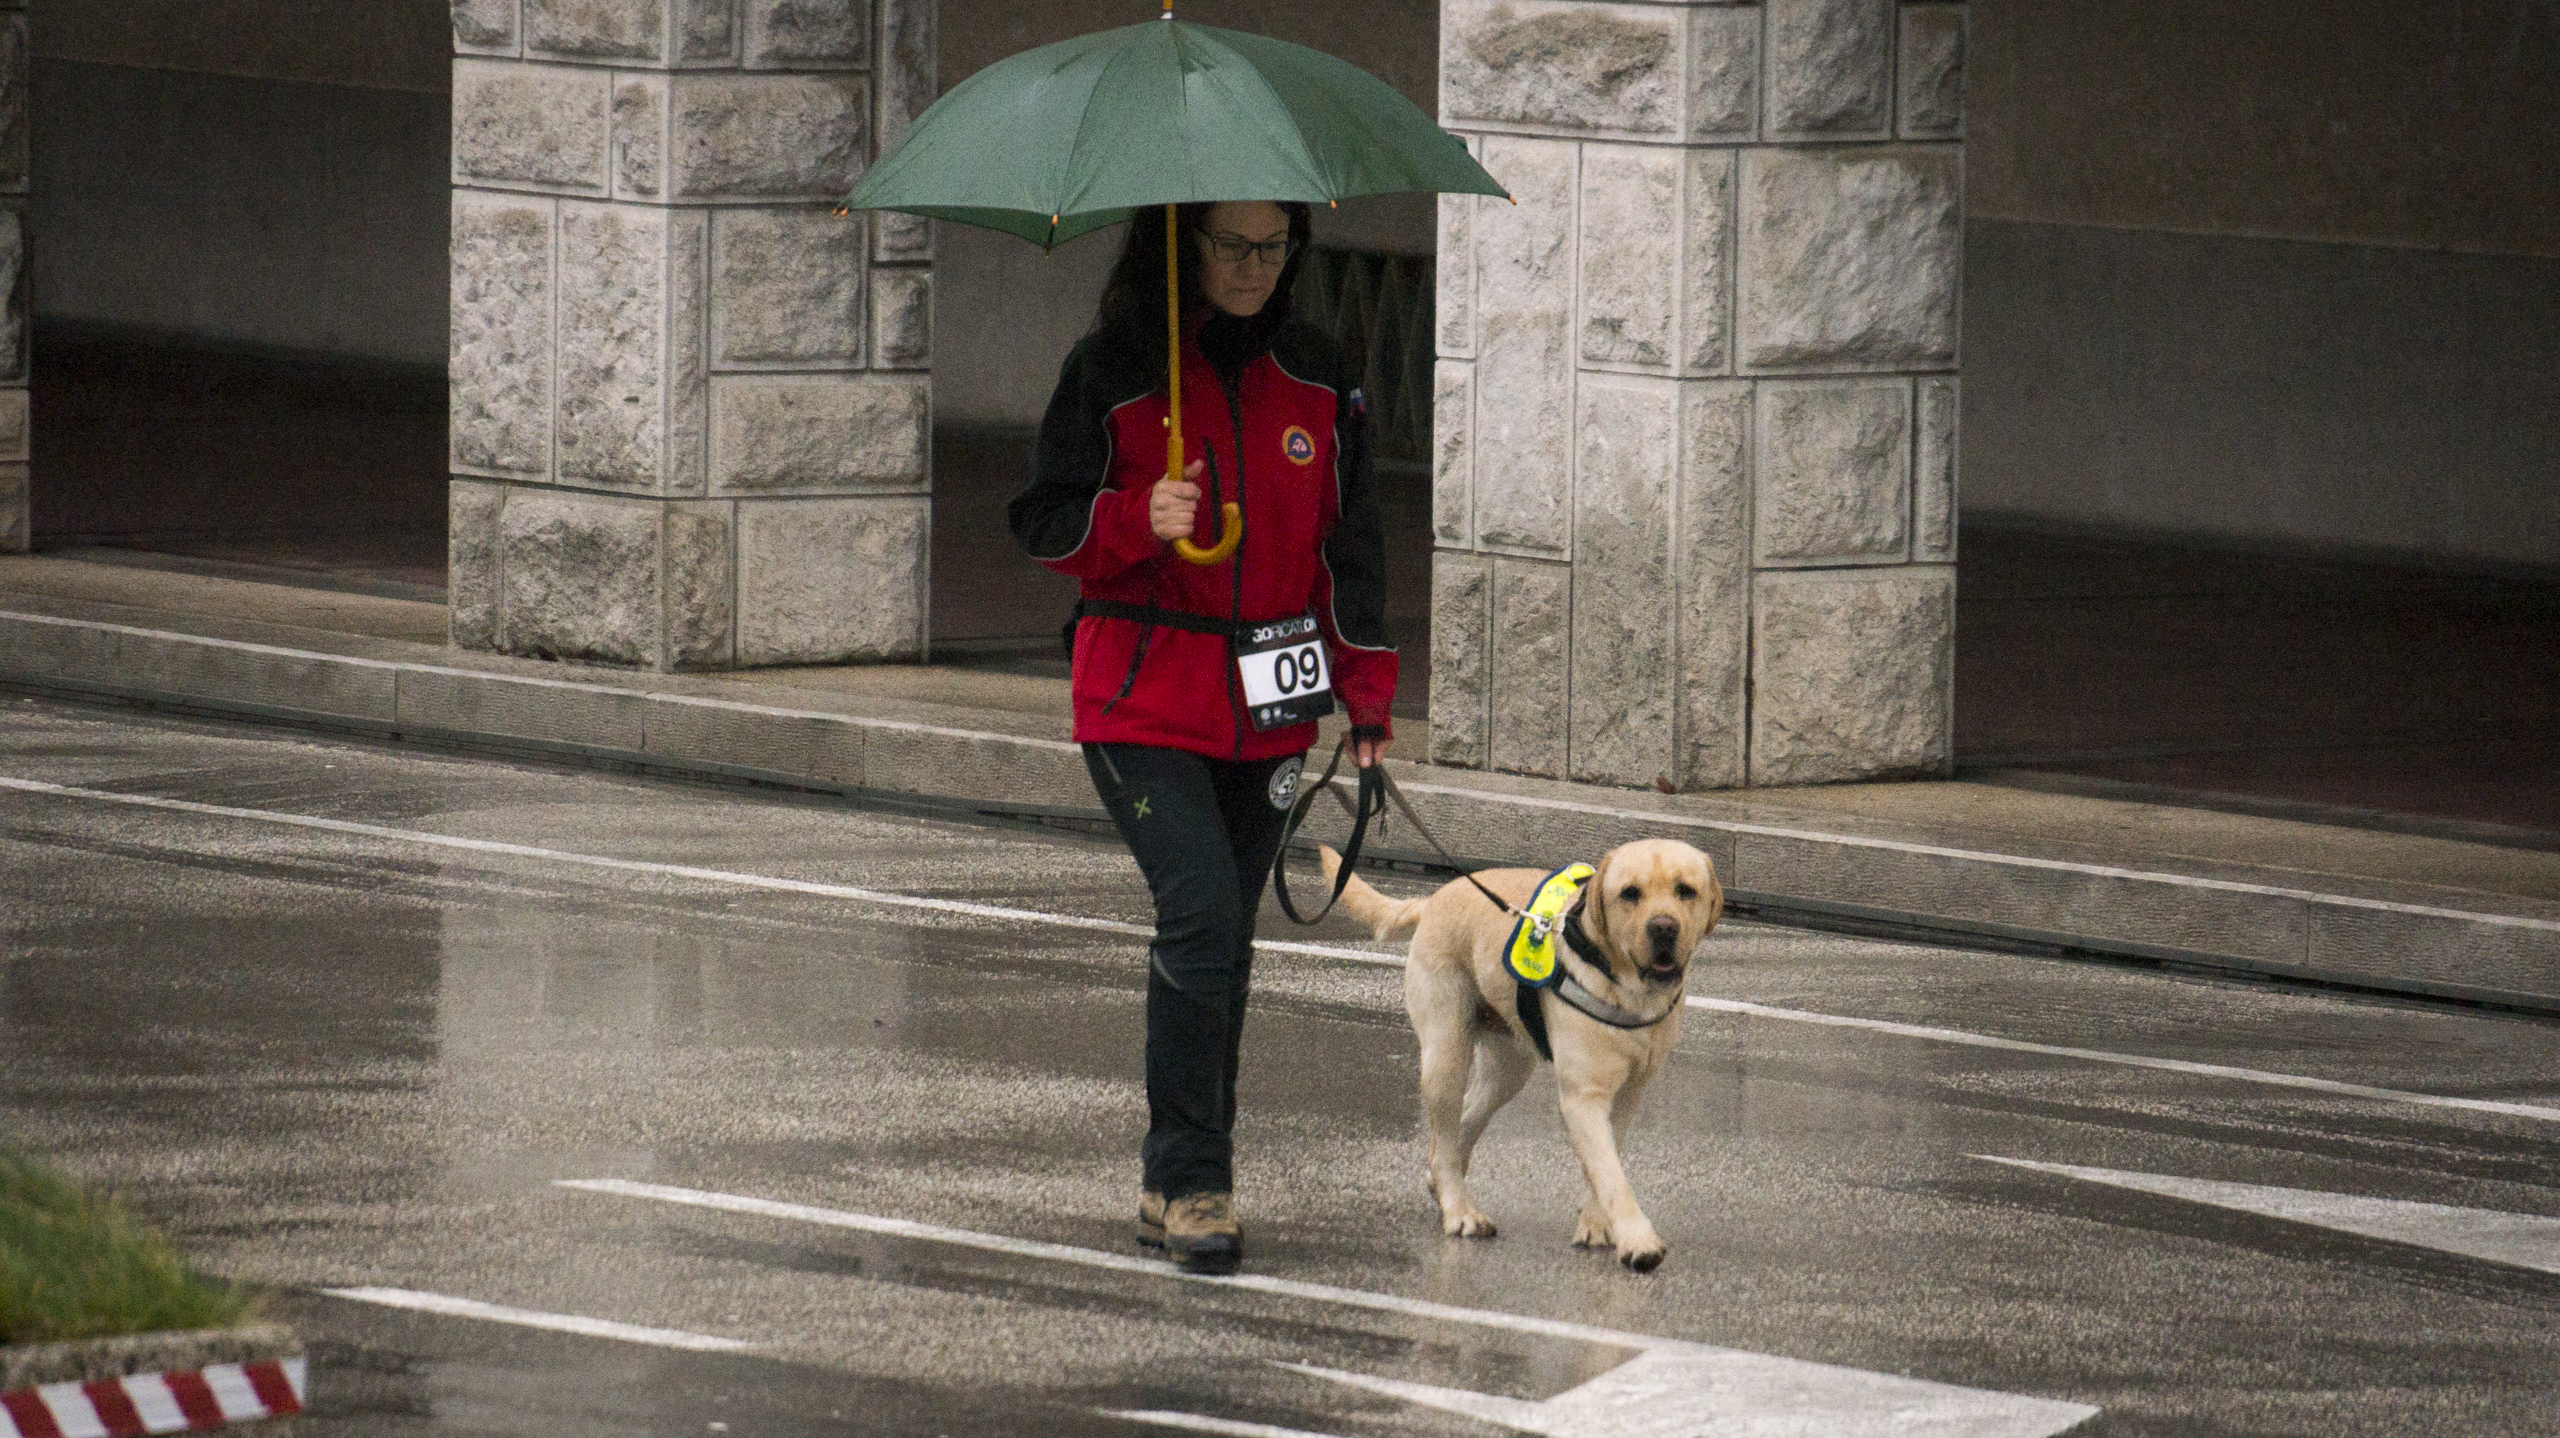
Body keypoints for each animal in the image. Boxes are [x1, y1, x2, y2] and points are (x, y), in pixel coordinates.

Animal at [1320, 838, 1722, 1271]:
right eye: (1630, 893)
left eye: (1686, 891)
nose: (1664, 927)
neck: (1627, 992)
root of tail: (1433, 900)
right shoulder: (1583, 1097)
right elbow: (1612, 1175)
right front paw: (1638, 1240)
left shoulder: (1628, 1094)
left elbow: (1603, 1166)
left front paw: (1595, 1223)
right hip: (1446, 1053)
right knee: (1444, 1140)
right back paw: (1460, 1210)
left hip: (1508, 1069)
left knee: (1462, 1124)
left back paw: (1442, 1186)